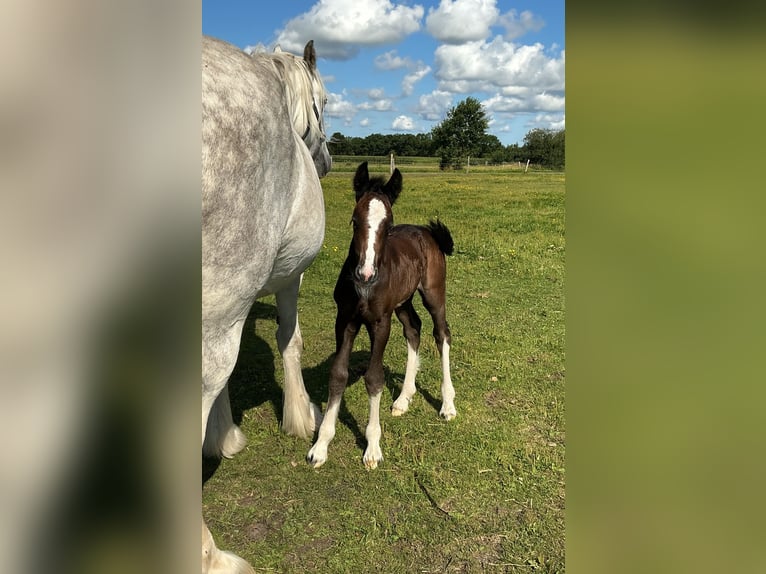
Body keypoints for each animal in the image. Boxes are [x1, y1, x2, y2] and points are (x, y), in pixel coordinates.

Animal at [307, 162, 457, 470]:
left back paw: (448, 404)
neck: (364, 288)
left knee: (441, 333)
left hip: (434, 294)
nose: (365, 274)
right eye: (354, 220)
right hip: (402, 303)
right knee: (413, 328)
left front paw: (373, 447)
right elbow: (338, 374)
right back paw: (403, 398)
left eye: (388, 226)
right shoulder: (345, 321)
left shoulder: (380, 323)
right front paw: (321, 446)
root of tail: (427, 232)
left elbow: (374, 378)